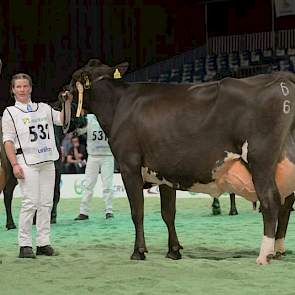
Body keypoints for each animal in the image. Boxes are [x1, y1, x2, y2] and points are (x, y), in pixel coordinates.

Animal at [69, 58, 295, 266]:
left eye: (74, 78)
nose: (62, 92)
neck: (119, 105)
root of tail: (282, 77)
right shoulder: (164, 172)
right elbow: (168, 213)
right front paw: (174, 250)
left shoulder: (128, 166)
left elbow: (137, 211)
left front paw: (138, 251)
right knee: (286, 204)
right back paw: (279, 249)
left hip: (260, 160)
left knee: (271, 200)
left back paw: (264, 255)